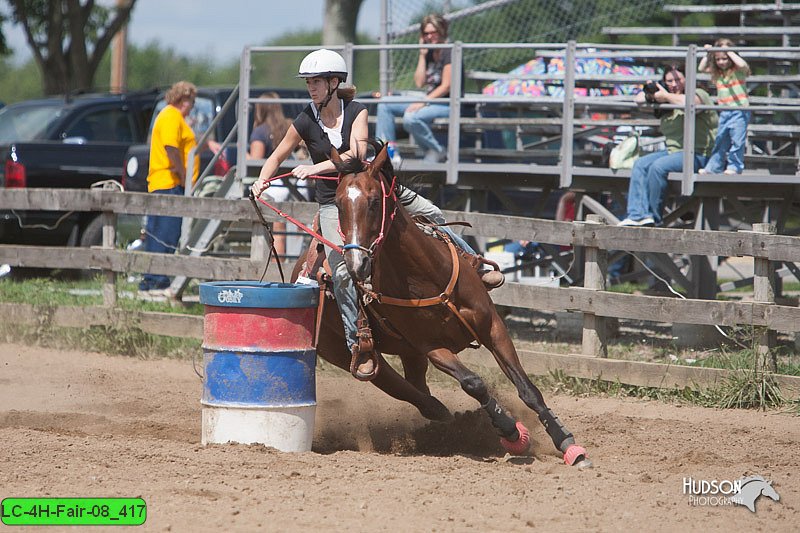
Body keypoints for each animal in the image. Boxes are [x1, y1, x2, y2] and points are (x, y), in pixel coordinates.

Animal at [292, 141, 588, 466]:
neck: (425, 276)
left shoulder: (493, 327)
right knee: (401, 387)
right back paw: (445, 419)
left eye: (373, 202)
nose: (357, 264)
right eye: (339, 205)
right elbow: (474, 383)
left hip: (410, 354)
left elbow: (527, 388)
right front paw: (512, 432)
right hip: (345, 352)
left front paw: (567, 443)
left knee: (417, 387)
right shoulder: (433, 348)